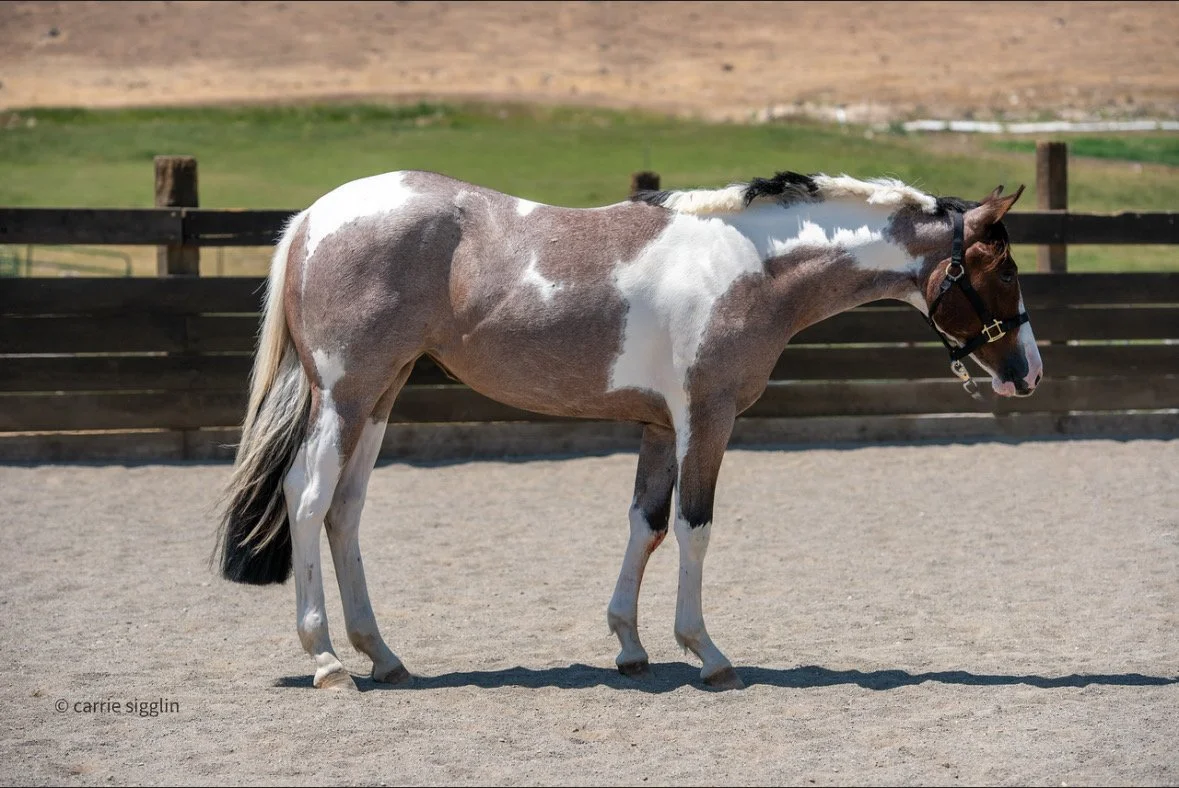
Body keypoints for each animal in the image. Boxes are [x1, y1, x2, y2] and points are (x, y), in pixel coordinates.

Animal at [216, 169, 1043, 691]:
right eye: (1003, 272)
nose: (1027, 372)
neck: (748, 267)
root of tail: (315, 219)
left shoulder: (655, 425)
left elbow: (644, 524)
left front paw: (629, 644)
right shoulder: (705, 417)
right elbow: (693, 527)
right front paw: (706, 653)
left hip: (379, 399)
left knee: (346, 512)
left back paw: (382, 656)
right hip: (345, 397)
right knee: (308, 499)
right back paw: (327, 661)